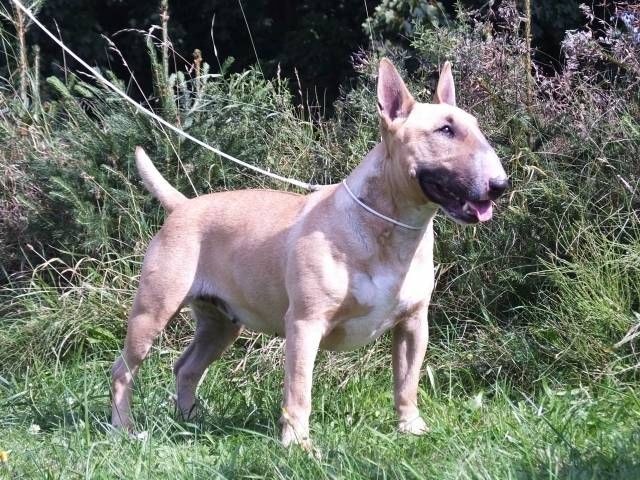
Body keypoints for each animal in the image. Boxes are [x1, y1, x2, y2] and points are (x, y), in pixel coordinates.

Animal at [111, 58, 508, 449]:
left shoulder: (413, 324)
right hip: (152, 311)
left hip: (220, 324)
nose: (501, 185)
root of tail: (182, 206)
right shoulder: (305, 324)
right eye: (445, 130)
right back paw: (125, 430)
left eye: (475, 127)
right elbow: (299, 390)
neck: (388, 226)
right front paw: (297, 445)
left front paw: (412, 429)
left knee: (187, 367)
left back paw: (191, 421)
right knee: (123, 370)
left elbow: (406, 382)